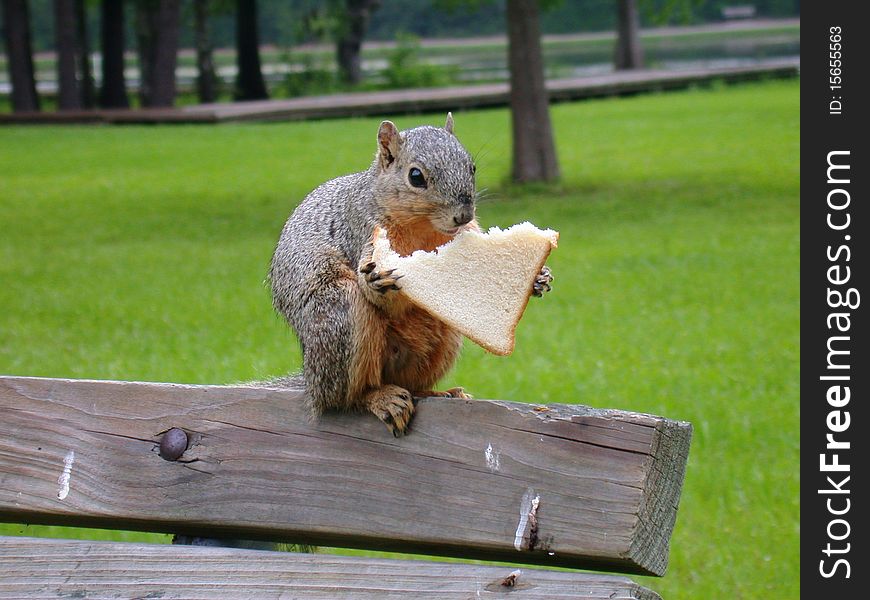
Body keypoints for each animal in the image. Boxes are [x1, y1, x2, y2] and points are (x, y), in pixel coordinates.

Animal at [270, 115, 556, 436]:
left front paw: (538, 277)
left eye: (472, 166)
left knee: (414, 384)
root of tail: (310, 384)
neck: (423, 227)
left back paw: (442, 393)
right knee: (343, 399)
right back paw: (381, 398)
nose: (463, 215)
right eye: (416, 176)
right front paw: (376, 283)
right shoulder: (362, 232)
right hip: (339, 315)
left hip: (443, 340)